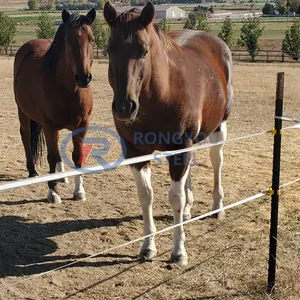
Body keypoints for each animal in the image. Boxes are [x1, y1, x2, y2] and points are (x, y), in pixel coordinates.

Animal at [13, 8, 96, 204]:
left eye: (91, 39)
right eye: (67, 40)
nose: (83, 77)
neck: (68, 89)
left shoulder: (82, 125)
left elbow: (77, 155)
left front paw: (79, 191)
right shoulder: (49, 126)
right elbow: (51, 157)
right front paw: (53, 192)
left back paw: (62, 177)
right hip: (23, 112)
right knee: (26, 137)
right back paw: (33, 172)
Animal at [104, 2, 233, 264]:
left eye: (144, 51)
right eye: (110, 51)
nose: (124, 107)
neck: (161, 94)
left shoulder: (179, 148)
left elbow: (175, 198)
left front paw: (179, 251)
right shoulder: (136, 152)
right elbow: (146, 197)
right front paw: (147, 247)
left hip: (218, 128)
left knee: (217, 161)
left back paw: (217, 206)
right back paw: (190, 208)